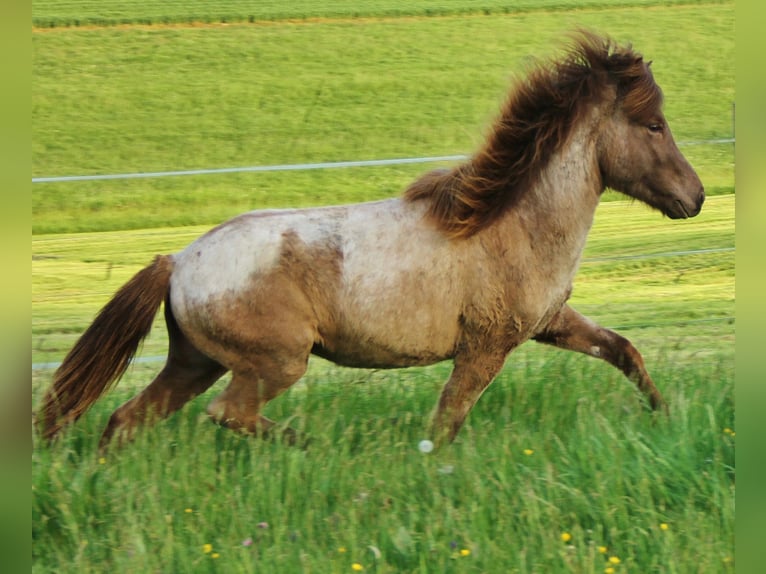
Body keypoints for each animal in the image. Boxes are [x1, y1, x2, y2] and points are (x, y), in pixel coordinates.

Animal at [36, 31, 708, 452]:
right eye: (653, 124)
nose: (696, 196)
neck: (511, 227)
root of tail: (177, 262)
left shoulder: (551, 323)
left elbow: (624, 351)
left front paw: (668, 418)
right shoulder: (486, 347)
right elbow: (448, 421)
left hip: (193, 361)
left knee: (126, 421)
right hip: (275, 361)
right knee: (229, 414)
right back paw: (312, 446)